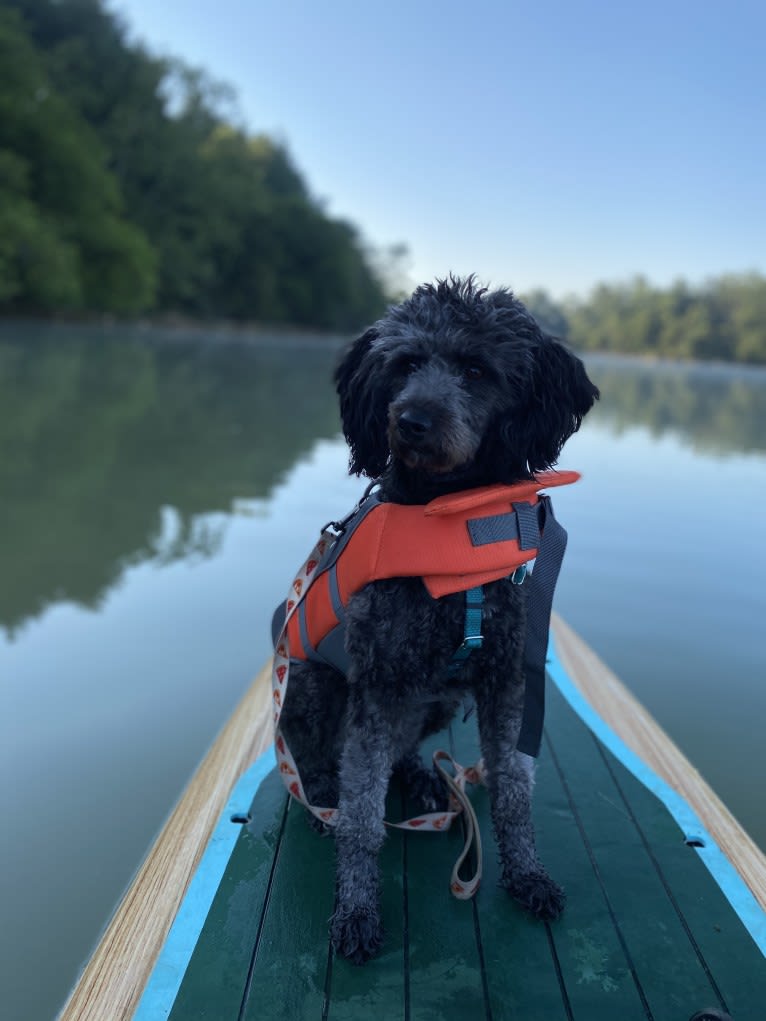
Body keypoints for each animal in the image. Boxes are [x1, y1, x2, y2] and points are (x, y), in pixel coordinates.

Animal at [279, 277, 604, 963]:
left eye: (477, 369)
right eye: (405, 364)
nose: (411, 421)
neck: (454, 515)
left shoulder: (506, 678)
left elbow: (512, 790)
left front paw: (527, 875)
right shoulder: (377, 686)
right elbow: (362, 819)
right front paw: (356, 911)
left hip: (433, 699)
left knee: (405, 749)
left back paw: (423, 780)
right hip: (314, 683)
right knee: (317, 758)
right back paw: (320, 794)